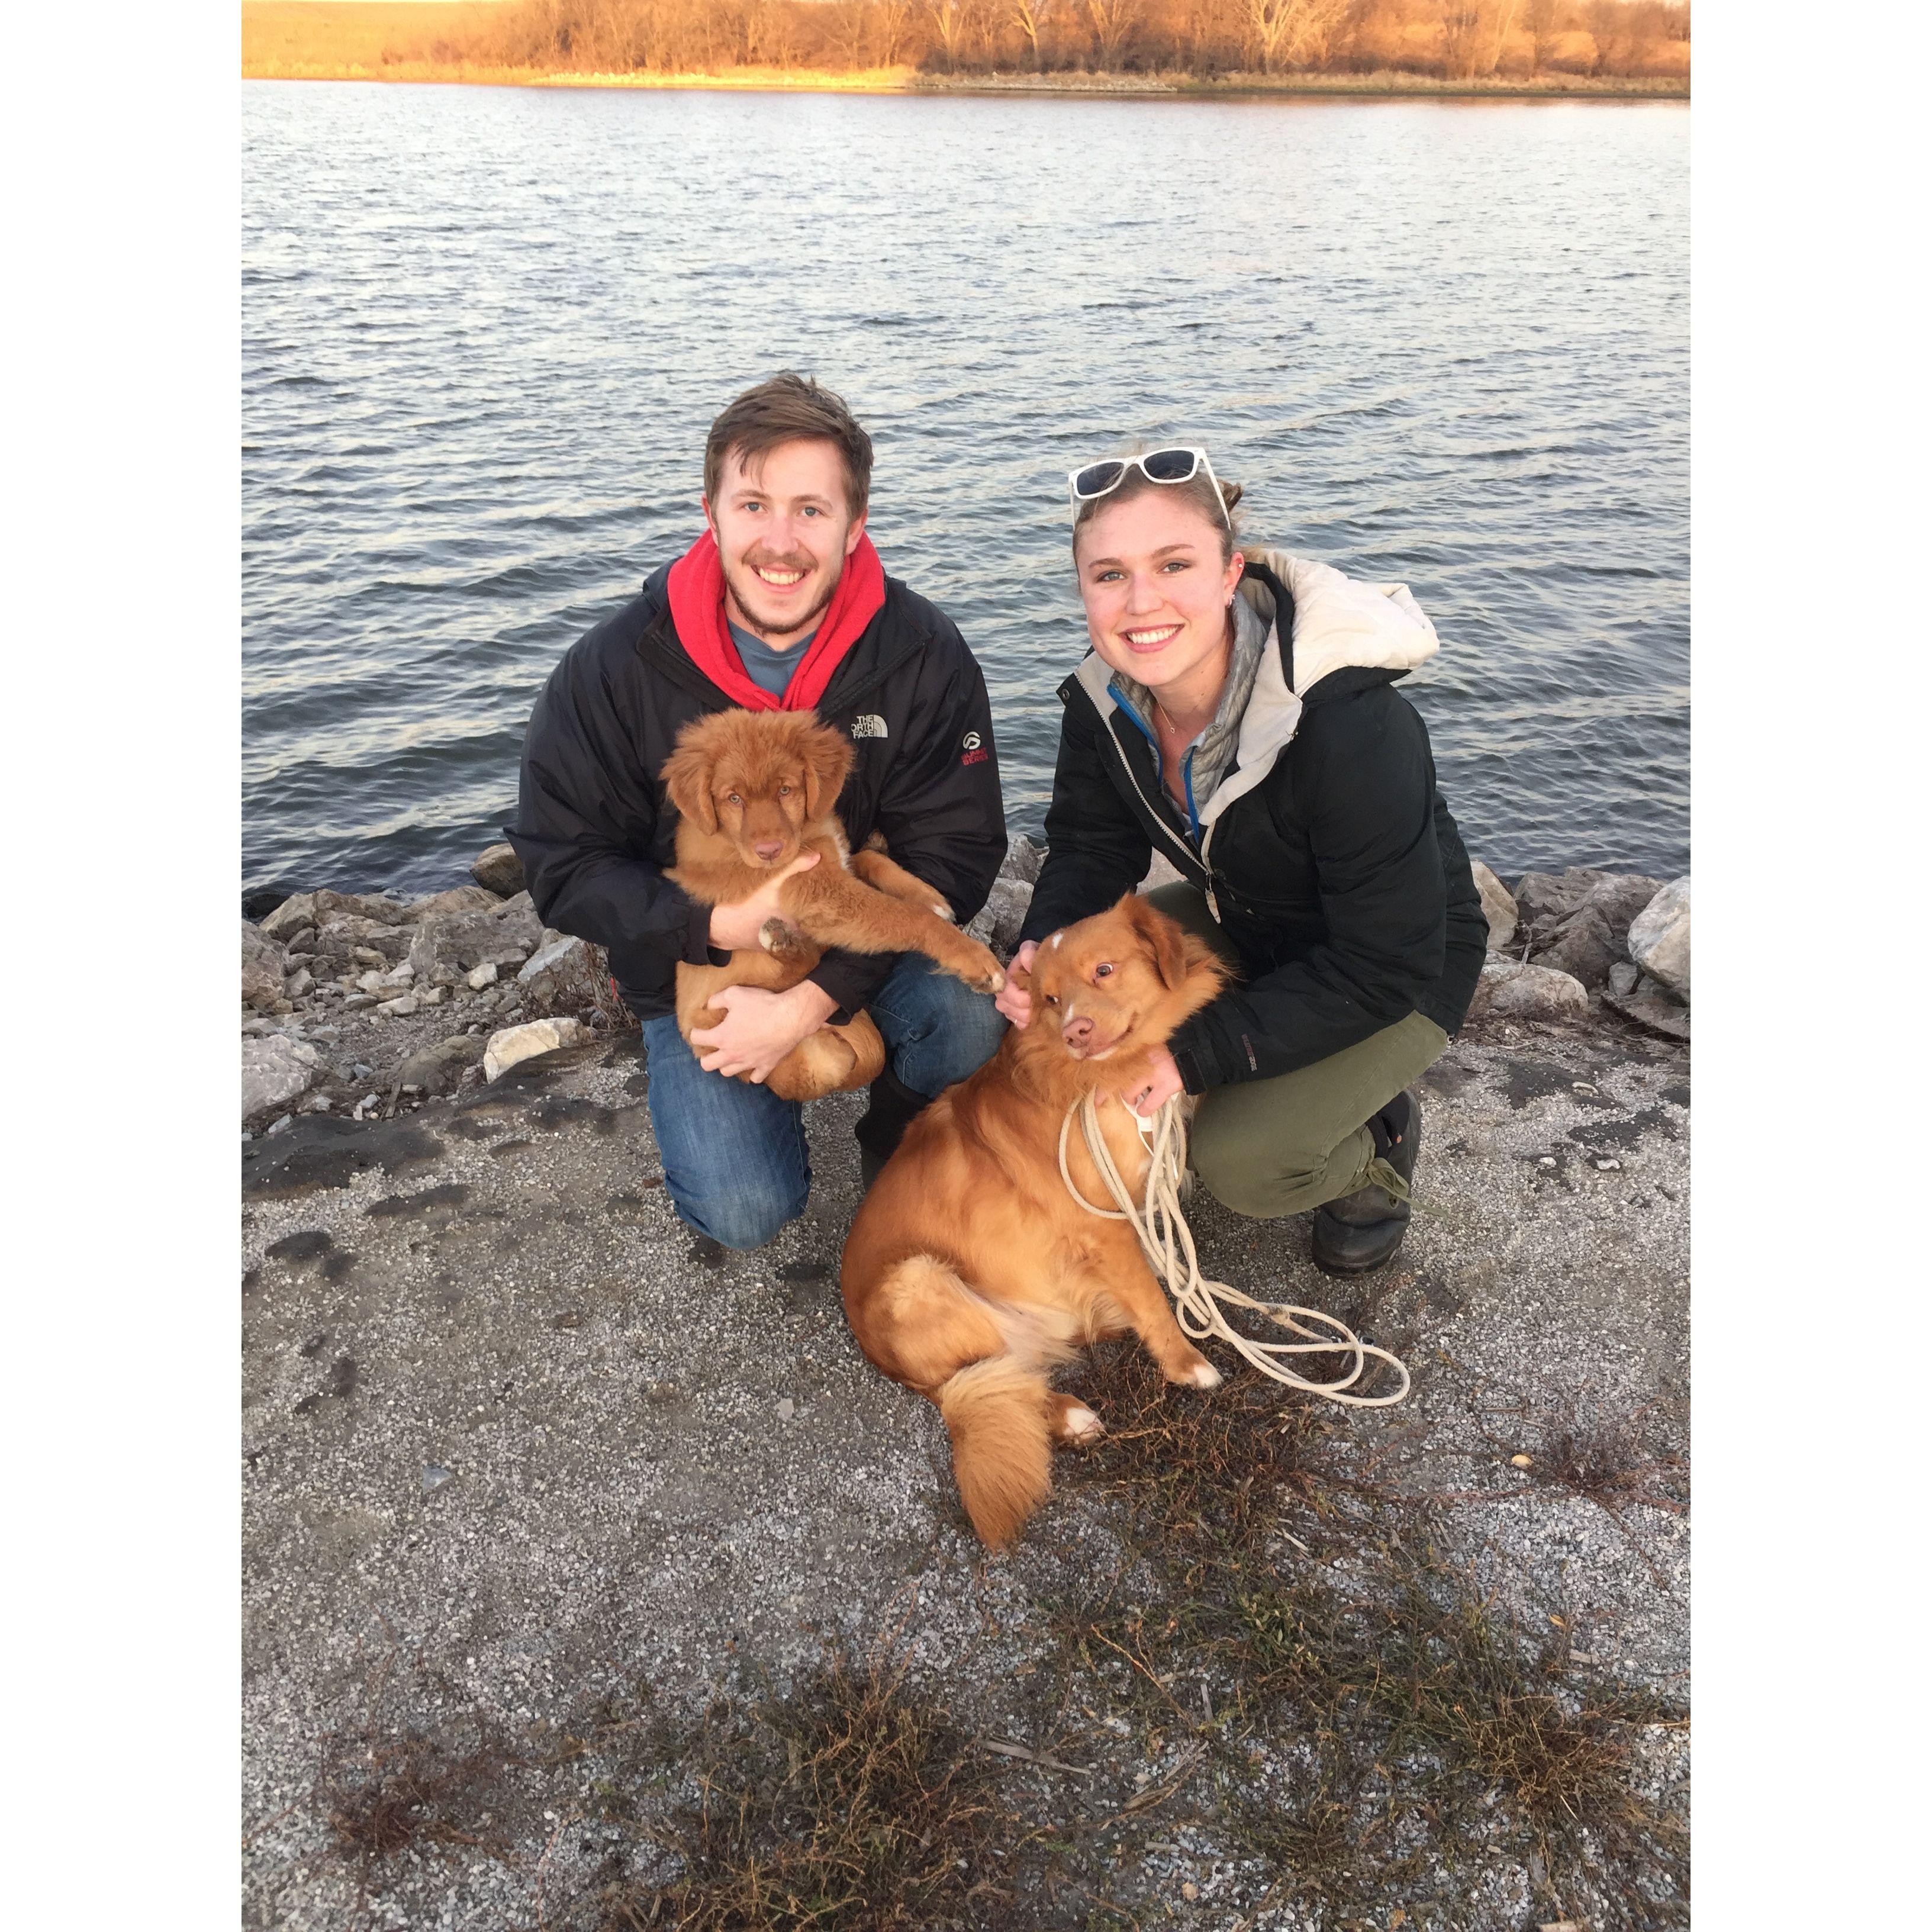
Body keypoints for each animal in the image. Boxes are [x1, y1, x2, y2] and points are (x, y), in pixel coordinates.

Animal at [661, 711, 1004, 1105]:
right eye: (734, 799)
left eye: (785, 790)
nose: (769, 852)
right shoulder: (816, 892)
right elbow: (903, 916)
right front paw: (974, 958)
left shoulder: (835, 868)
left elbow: (869, 858)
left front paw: (927, 895)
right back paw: (781, 943)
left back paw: (784, 941)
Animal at [842, 896, 1228, 1545]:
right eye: (1049, 998)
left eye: (1104, 970)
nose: (1075, 1030)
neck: (1098, 1079)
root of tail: (884, 1361)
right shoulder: (1102, 1223)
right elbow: (1151, 1298)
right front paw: (1185, 1364)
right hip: (920, 1281)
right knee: (996, 1374)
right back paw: (1068, 1413)